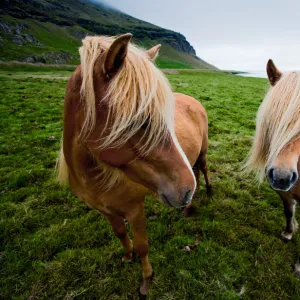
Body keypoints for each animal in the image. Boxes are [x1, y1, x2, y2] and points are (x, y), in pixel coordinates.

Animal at [56, 34, 211, 294]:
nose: (186, 189)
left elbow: (142, 245)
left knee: (204, 171)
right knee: (197, 173)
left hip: (203, 153)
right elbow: (120, 233)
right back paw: (188, 207)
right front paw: (127, 257)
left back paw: (205, 192)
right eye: (141, 120)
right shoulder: (105, 210)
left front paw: (146, 279)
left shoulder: (135, 209)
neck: (94, 178)